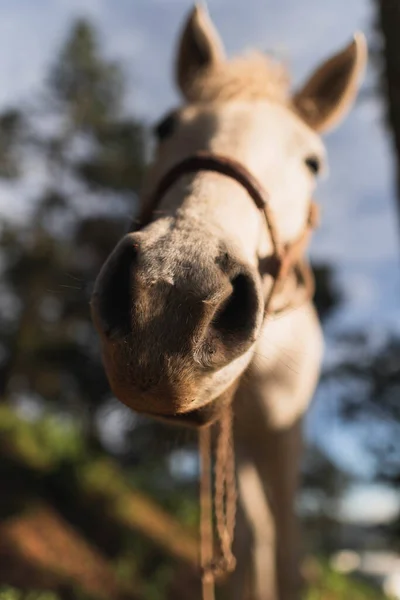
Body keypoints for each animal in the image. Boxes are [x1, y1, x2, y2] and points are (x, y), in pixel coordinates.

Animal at [90, 5, 366, 600]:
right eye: (165, 126)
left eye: (313, 163)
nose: (172, 298)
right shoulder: (229, 432)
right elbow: (252, 540)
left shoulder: (286, 433)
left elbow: (289, 545)